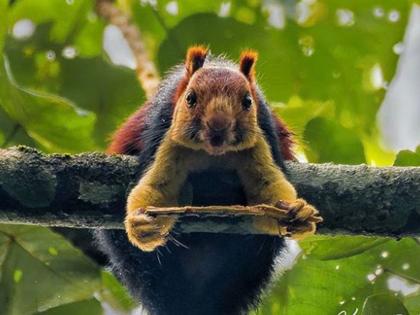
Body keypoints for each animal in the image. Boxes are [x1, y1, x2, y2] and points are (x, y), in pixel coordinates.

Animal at [97, 45, 322, 314]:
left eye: (248, 101)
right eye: (190, 98)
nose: (218, 124)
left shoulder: (265, 130)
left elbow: (266, 197)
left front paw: (298, 212)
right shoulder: (162, 127)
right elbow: (157, 188)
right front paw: (140, 223)